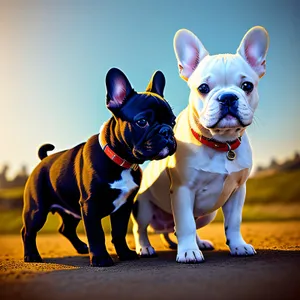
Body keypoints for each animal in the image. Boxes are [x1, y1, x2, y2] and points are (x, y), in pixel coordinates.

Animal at [21, 68, 176, 268]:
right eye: (142, 122)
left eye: (172, 122)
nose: (167, 131)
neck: (122, 161)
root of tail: (43, 160)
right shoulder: (90, 204)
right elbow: (96, 233)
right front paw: (101, 258)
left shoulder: (124, 206)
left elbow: (119, 231)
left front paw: (125, 253)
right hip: (37, 210)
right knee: (28, 231)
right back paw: (31, 255)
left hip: (71, 210)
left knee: (65, 229)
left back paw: (81, 247)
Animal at [132, 27, 268, 264]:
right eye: (203, 88)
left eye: (247, 86)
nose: (228, 97)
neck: (221, 144)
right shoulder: (182, 189)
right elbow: (185, 223)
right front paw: (187, 251)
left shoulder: (238, 191)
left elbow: (234, 222)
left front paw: (238, 245)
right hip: (144, 208)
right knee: (141, 228)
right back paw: (145, 247)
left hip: (208, 214)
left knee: (187, 225)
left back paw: (199, 242)